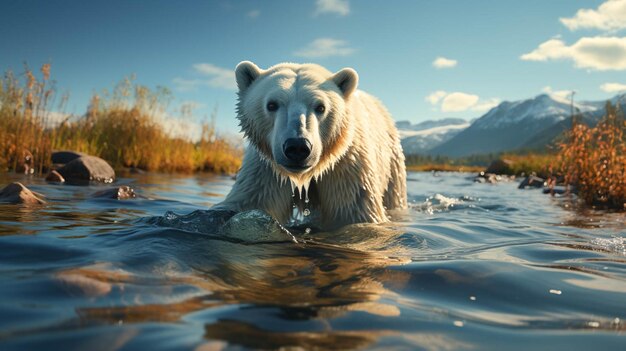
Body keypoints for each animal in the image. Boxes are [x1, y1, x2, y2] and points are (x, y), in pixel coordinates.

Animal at [214, 61, 408, 230]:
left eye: (321, 107)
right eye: (271, 105)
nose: (297, 147)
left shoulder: (347, 166)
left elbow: (353, 212)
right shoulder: (266, 169)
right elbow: (250, 201)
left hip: (392, 162)